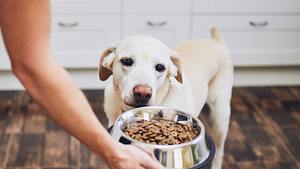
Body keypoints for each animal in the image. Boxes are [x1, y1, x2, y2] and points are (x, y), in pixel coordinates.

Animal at [99, 27, 233, 168]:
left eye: (160, 67)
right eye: (126, 61)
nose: (143, 93)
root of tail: (215, 41)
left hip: (220, 117)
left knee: (220, 149)